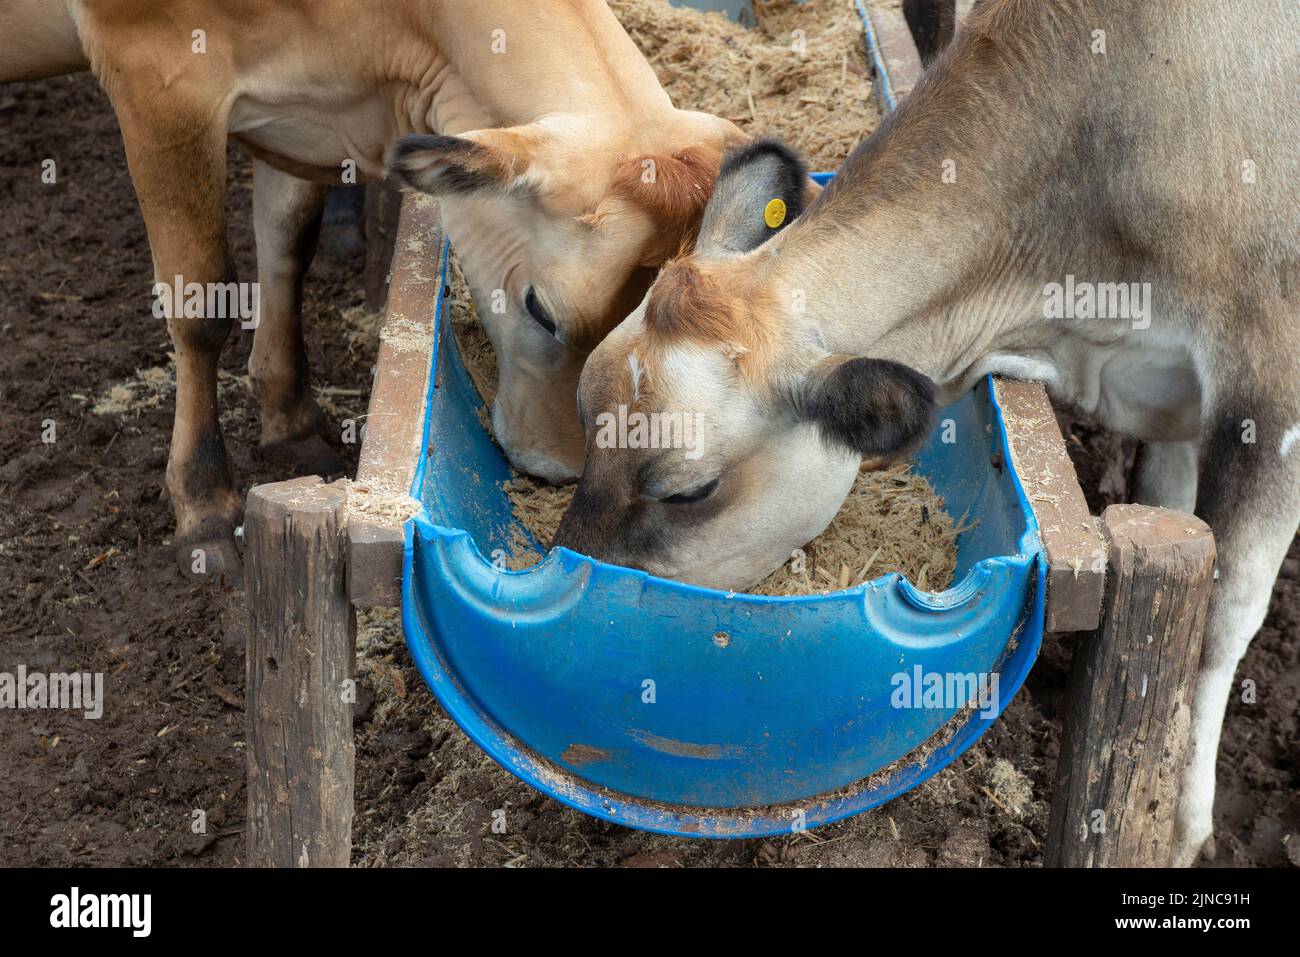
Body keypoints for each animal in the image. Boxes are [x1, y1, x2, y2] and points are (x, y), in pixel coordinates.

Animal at [0, 0, 748, 581]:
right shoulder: (158, 80)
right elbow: (201, 304)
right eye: (542, 310)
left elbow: (288, 238)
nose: (558, 467)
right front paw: (205, 507)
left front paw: (291, 420)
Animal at [553, 0, 1300, 866]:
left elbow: (1223, 610)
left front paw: (1178, 818)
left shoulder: (1270, 383)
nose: (567, 568)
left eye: (688, 491)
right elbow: (1172, 513)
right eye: (585, 420)